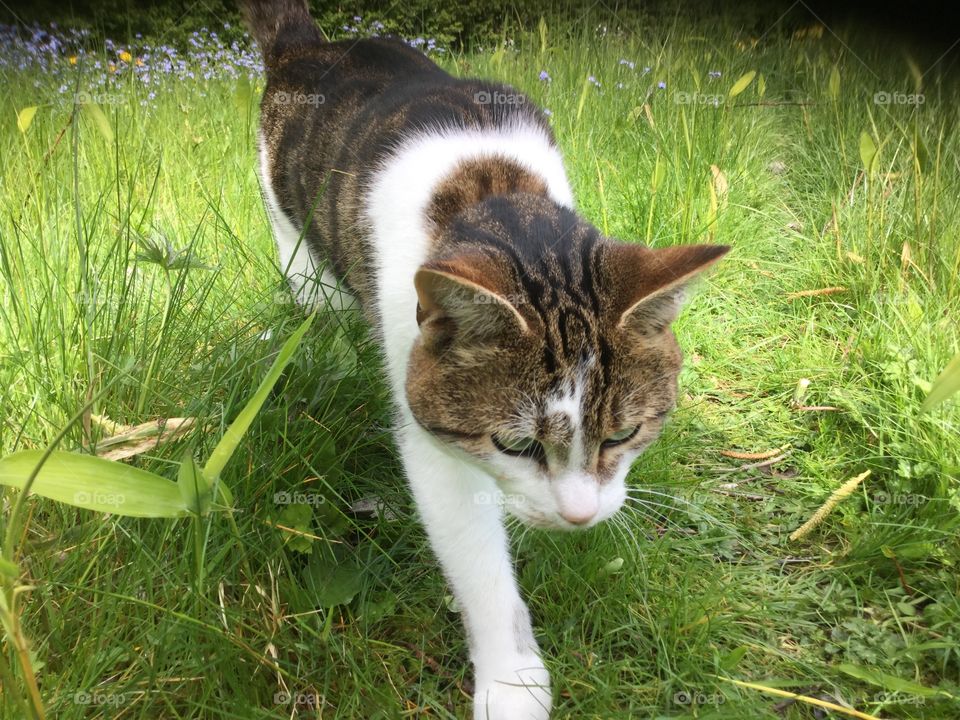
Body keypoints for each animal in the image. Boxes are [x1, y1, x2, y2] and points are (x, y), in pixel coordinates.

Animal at [240, 2, 728, 716]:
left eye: (623, 434)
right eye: (515, 445)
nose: (579, 517)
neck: (490, 188)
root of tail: (310, 48)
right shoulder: (429, 422)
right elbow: (476, 559)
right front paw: (511, 678)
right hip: (294, 241)